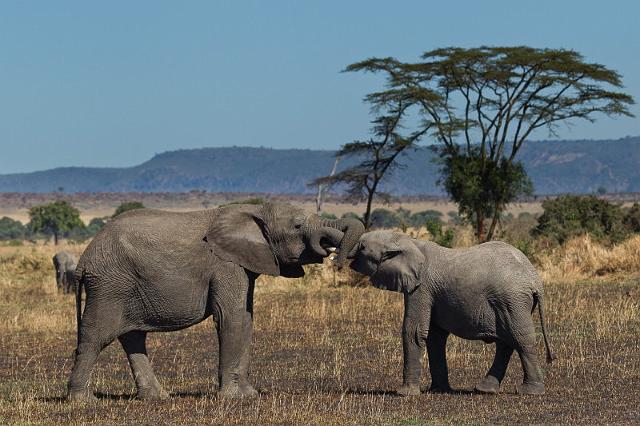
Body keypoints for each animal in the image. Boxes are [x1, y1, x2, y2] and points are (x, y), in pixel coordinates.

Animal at [69, 203, 364, 402]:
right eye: (297, 226)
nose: (337, 261)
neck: (255, 209)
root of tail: (84, 259)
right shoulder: (225, 264)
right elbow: (231, 317)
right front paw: (233, 399)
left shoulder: (244, 263)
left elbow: (246, 318)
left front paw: (249, 395)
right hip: (109, 284)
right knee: (96, 336)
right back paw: (84, 401)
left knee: (133, 337)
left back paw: (157, 398)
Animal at [348, 233, 552, 396]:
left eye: (363, 247)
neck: (407, 241)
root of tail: (535, 279)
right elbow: (435, 337)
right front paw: (438, 390)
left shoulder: (421, 288)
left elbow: (414, 331)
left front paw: (404, 394)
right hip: (509, 303)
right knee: (506, 342)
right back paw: (485, 389)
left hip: (512, 300)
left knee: (520, 339)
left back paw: (530, 391)